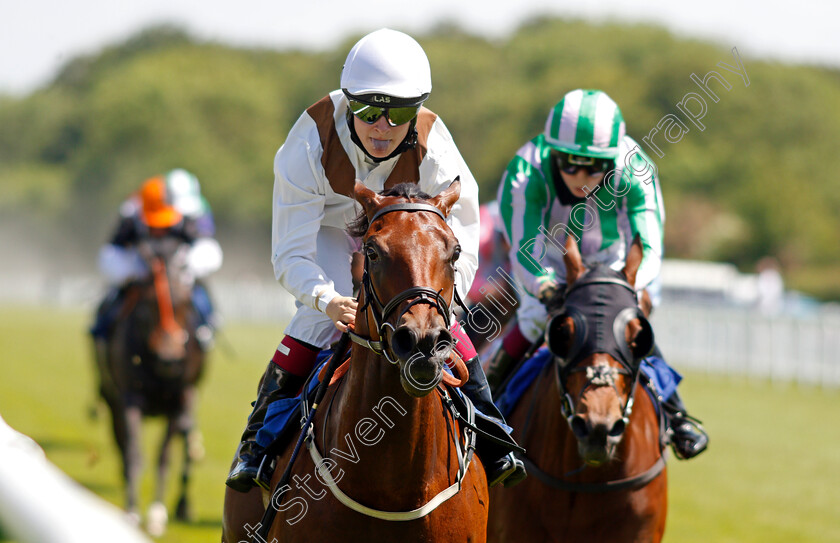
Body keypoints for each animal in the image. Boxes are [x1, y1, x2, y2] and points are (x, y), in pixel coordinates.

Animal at [101, 236, 208, 536]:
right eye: (147, 304)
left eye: (184, 302)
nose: (169, 360)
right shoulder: (129, 399)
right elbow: (134, 453)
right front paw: (132, 511)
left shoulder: (178, 400)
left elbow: (164, 457)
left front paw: (158, 514)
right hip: (111, 398)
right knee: (121, 442)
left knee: (187, 441)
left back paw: (183, 504)